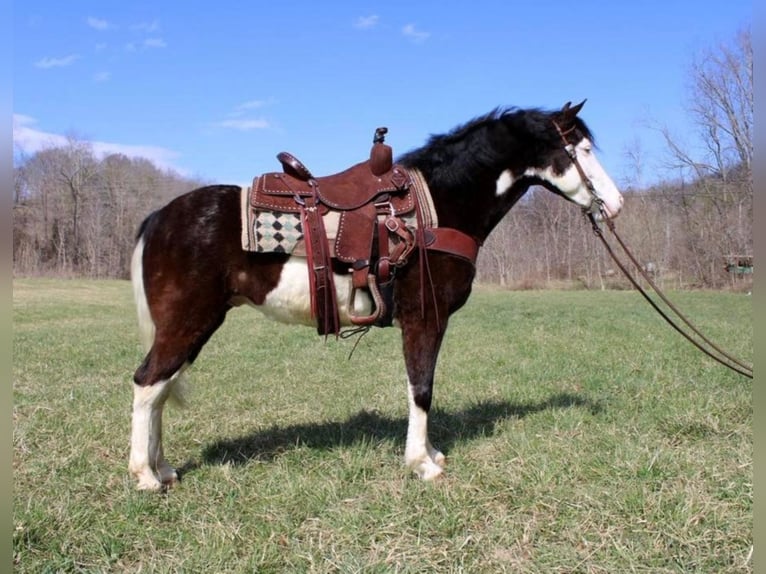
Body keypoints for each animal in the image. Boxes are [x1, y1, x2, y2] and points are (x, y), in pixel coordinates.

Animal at [130, 101, 624, 492]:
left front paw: (431, 453)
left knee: (159, 390)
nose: (616, 204)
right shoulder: (426, 318)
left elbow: (423, 386)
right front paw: (422, 464)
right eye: (580, 150)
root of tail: (160, 216)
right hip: (187, 322)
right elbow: (421, 388)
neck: (439, 207)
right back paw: (146, 475)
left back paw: (164, 468)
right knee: (147, 384)